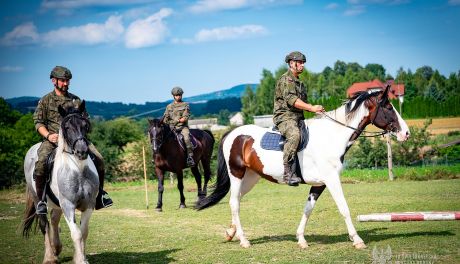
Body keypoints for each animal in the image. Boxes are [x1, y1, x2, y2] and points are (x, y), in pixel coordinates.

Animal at [22, 101, 98, 264]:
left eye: (85, 125)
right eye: (67, 127)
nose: (81, 151)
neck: (78, 169)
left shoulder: (89, 204)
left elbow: (84, 232)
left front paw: (81, 257)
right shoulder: (68, 205)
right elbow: (76, 233)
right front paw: (80, 260)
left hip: (57, 204)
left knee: (54, 219)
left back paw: (56, 248)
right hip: (38, 199)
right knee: (45, 224)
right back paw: (49, 257)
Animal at [197, 85, 410, 250]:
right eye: (389, 107)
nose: (406, 133)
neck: (332, 136)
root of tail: (232, 134)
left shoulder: (320, 184)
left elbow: (308, 208)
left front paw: (301, 239)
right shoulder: (332, 180)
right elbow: (344, 208)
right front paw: (357, 240)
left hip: (250, 178)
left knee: (237, 200)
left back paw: (231, 232)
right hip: (237, 174)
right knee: (234, 202)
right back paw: (243, 240)